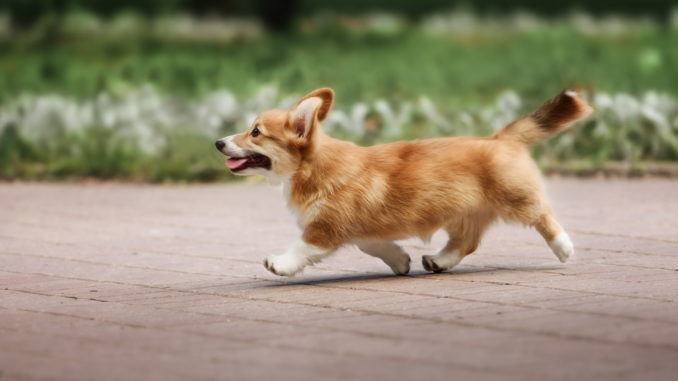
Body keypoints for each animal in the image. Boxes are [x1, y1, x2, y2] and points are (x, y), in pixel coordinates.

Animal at [215, 88, 592, 274]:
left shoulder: (325, 229)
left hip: (516, 199)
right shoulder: (358, 231)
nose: (218, 143)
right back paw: (438, 261)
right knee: (465, 243)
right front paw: (401, 262)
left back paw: (564, 247)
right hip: (466, 213)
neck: (312, 168)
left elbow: (301, 248)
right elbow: (375, 246)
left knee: (543, 215)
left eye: (255, 132)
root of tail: (500, 138)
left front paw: (279, 264)